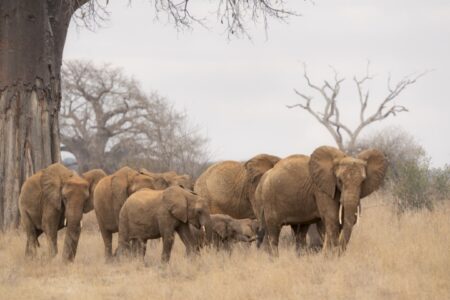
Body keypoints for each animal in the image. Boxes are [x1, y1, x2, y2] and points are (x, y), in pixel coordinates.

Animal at [256, 146, 386, 254]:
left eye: (362, 181)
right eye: (339, 180)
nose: (339, 253)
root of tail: (265, 176)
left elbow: (343, 221)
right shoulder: (321, 189)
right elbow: (333, 219)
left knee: (299, 233)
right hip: (269, 198)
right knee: (273, 232)